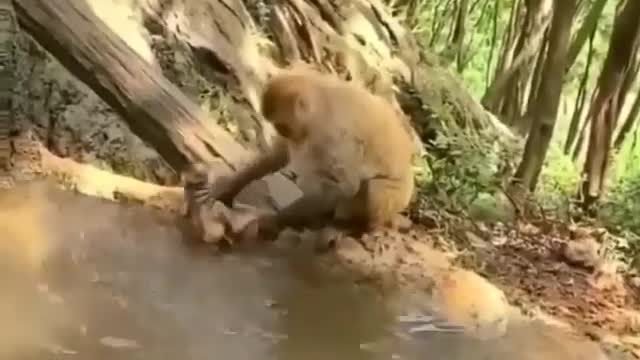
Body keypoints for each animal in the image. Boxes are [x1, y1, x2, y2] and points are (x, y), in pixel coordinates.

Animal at [186, 68, 416, 242]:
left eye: (282, 127)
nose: (284, 134)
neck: (323, 99)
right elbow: (279, 155)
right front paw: (225, 188)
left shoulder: (333, 136)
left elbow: (343, 186)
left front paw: (270, 221)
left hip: (394, 199)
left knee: (371, 190)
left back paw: (350, 227)